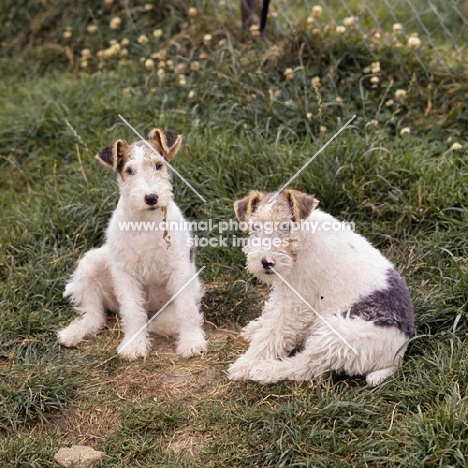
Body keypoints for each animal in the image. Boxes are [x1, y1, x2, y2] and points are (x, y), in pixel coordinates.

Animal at [57, 127, 207, 358]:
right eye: (129, 170)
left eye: (158, 165)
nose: (151, 198)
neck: (145, 222)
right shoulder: (124, 272)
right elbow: (133, 311)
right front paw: (133, 346)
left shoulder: (179, 268)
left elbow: (186, 311)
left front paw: (192, 342)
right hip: (92, 262)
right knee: (95, 315)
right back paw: (71, 334)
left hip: (186, 294)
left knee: (160, 321)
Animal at [229, 188, 414, 386]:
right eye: (256, 227)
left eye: (286, 226)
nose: (266, 262)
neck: (301, 241)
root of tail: (399, 354)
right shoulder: (286, 289)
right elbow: (271, 313)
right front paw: (255, 328)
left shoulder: (296, 302)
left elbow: (272, 334)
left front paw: (245, 364)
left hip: (336, 335)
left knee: (304, 368)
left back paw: (264, 370)